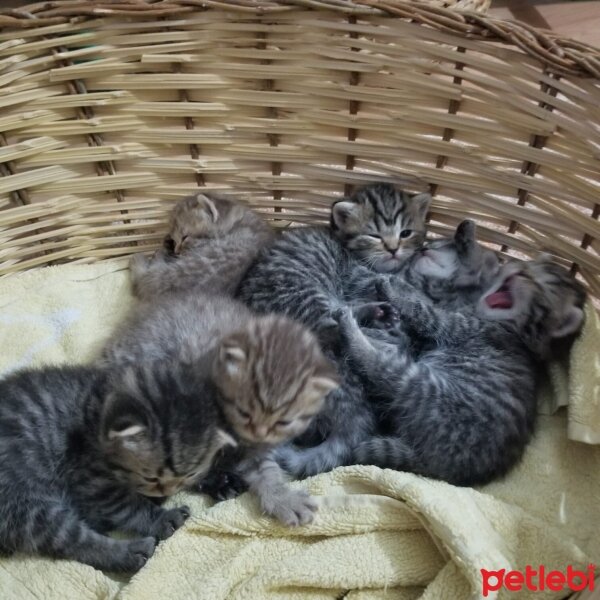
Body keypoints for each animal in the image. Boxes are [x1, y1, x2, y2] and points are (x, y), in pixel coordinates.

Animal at [0, 360, 233, 572]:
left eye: (189, 474)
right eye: (150, 477)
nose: (164, 495)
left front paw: (219, 480)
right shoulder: (91, 480)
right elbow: (130, 507)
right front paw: (160, 518)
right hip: (26, 505)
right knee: (74, 541)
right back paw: (130, 553)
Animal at [239, 180, 432, 476]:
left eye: (406, 232)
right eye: (374, 235)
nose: (393, 249)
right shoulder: (357, 278)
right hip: (305, 295)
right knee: (336, 322)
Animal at [336, 254, 584, 488]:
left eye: (542, 286)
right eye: (529, 267)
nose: (519, 271)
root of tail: (445, 470)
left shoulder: (459, 325)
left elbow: (425, 311)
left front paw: (393, 290)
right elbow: (423, 298)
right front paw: (399, 283)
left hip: (425, 389)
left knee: (379, 367)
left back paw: (352, 331)